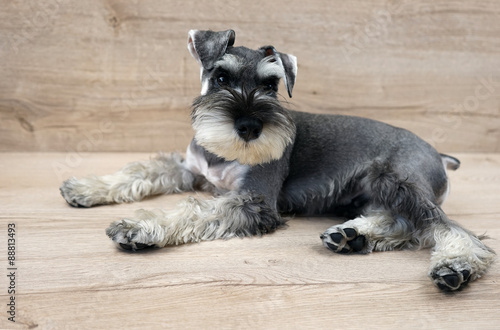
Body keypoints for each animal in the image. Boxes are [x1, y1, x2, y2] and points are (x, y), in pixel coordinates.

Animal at [59, 28, 496, 292]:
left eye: (271, 85)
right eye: (220, 77)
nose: (250, 126)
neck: (224, 155)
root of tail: (438, 153)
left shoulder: (254, 201)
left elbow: (193, 210)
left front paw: (139, 227)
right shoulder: (188, 168)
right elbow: (142, 169)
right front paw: (85, 186)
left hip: (397, 180)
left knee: (442, 226)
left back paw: (456, 265)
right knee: (405, 223)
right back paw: (352, 236)